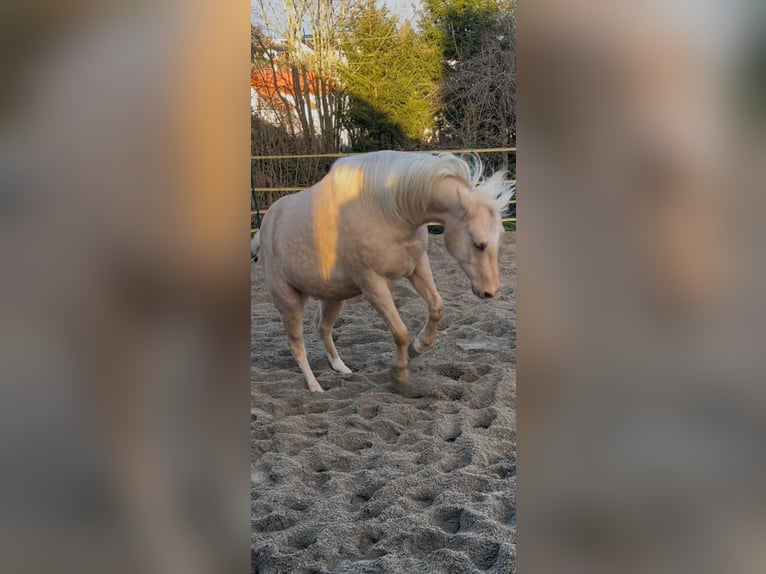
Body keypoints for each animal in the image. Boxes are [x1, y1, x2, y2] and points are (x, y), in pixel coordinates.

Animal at [257, 150, 513, 392]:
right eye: (479, 244)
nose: (490, 291)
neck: (388, 209)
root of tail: (267, 223)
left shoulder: (418, 266)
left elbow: (437, 307)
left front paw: (418, 348)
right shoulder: (372, 284)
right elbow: (399, 331)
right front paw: (399, 374)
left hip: (333, 296)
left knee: (323, 327)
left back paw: (341, 367)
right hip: (288, 301)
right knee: (297, 347)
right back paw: (315, 387)